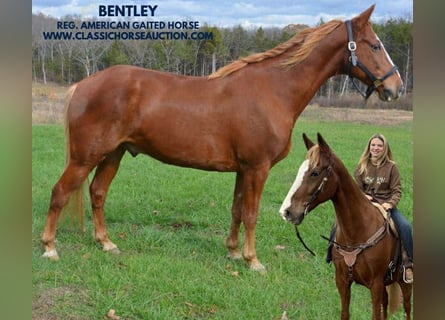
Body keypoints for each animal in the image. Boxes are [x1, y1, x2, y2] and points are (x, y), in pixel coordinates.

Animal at [41, 5, 402, 272]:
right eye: (374, 45)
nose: (395, 87)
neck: (274, 90)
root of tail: (84, 84)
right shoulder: (257, 168)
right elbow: (252, 213)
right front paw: (253, 261)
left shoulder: (244, 169)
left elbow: (236, 209)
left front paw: (232, 252)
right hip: (86, 157)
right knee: (60, 192)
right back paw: (49, 248)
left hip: (113, 154)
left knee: (97, 192)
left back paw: (106, 243)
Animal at [280, 132, 412, 318]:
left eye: (315, 173)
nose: (286, 211)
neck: (357, 232)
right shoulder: (342, 282)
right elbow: (345, 313)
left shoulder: (376, 284)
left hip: (405, 283)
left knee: (407, 308)